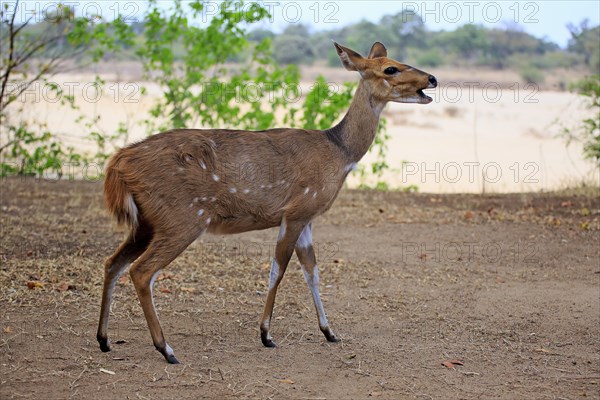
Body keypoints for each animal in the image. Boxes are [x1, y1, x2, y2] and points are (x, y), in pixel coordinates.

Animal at [97, 40, 436, 362]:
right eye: (390, 68)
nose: (432, 79)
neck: (339, 153)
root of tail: (119, 163)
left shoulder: (308, 218)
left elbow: (312, 271)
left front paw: (329, 332)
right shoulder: (296, 211)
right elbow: (279, 269)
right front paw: (266, 334)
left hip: (147, 222)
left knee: (113, 262)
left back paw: (104, 340)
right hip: (184, 218)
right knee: (141, 271)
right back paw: (166, 350)